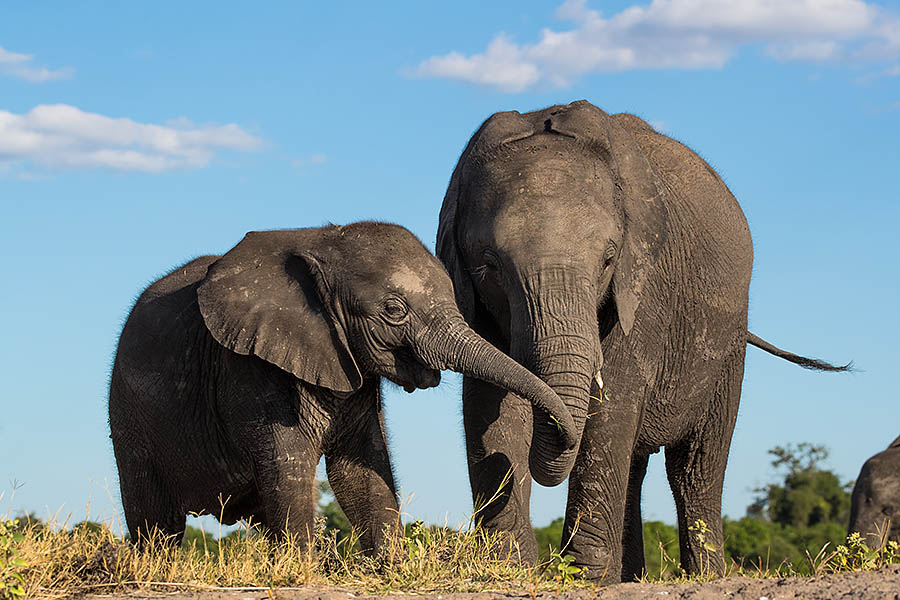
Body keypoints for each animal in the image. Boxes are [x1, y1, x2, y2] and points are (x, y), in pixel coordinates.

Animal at [109, 221, 576, 553]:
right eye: (394, 310)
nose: (509, 457)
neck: (319, 243)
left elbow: (360, 467)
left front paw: (388, 566)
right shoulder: (248, 369)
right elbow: (289, 465)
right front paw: (303, 567)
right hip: (130, 416)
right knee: (156, 520)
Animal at [436, 100, 847, 581]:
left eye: (608, 260)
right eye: (490, 265)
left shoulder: (644, 288)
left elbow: (611, 406)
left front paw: (583, 578)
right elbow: (490, 409)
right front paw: (509, 569)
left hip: (728, 340)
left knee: (695, 469)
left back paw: (704, 576)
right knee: (636, 464)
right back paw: (630, 576)